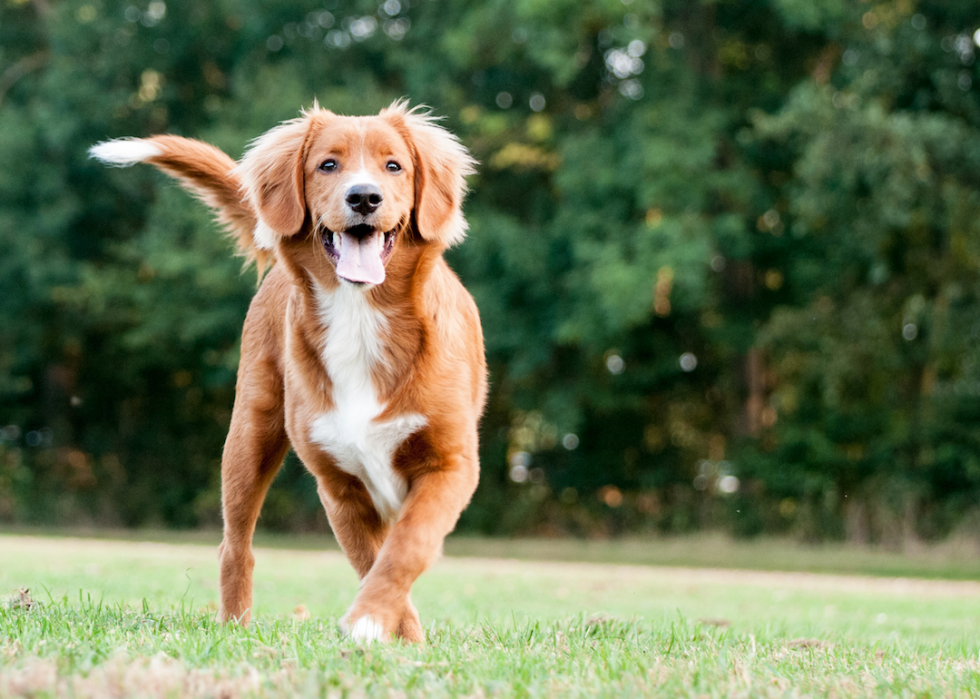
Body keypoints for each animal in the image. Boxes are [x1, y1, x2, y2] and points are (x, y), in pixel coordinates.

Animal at [90, 101, 488, 644]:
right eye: (328, 165)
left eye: (394, 166)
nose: (364, 197)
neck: (360, 316)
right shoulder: (340, 485)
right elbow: (375, 558)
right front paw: (390, 632)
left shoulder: (450, 463)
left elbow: (407, 547)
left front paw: (375, 624)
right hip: (249, 435)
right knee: (235, 544)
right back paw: (234, 625)